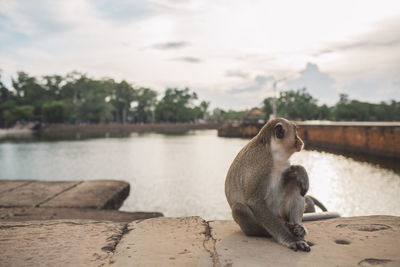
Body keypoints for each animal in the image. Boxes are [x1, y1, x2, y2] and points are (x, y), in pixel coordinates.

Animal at [223, 118, 340, 253]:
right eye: (295, 132)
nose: (300, 140)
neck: (274, 152)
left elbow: (290, 176)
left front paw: (300, 171)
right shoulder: (262, 165)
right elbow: (256, 202)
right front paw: (290, 240)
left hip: (282, 212)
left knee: (296, 185)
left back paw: (298, 229)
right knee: (239, 208)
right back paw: (270, 232)